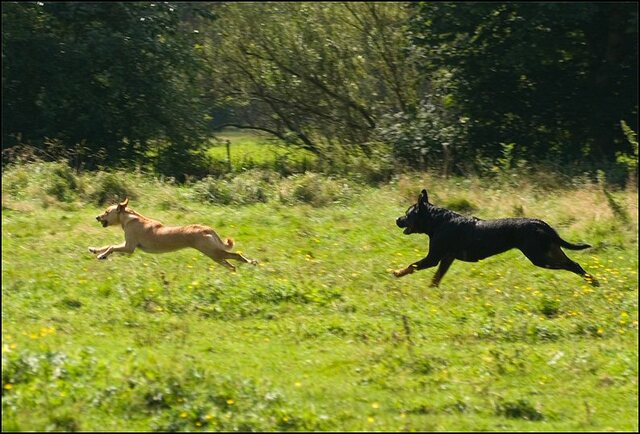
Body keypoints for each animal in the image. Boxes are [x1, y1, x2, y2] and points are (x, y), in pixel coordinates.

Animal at [88, 197, 258, 272]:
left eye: (106, 212)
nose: (96, 217)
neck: (129, 218)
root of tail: (207, 229)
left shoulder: (129, 247)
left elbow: (111, 247)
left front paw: (101, 255)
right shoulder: (126, 245)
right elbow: (107, 245)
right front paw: (95, 249)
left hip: (212, 251)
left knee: (236, 256)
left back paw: (251, 262)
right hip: (215, 254)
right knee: (230, 264)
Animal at [392, 188, 596, 286]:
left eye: (407, 214)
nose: (397, 219)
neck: (437, 222)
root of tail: (541, 223)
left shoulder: (433, 257)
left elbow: (412, 265)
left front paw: (396, 272)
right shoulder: (446, 259)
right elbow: (435, 279)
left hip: (539, 256)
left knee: (569, 266)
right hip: (551, 250)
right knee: (574, 264)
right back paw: (592, 281)